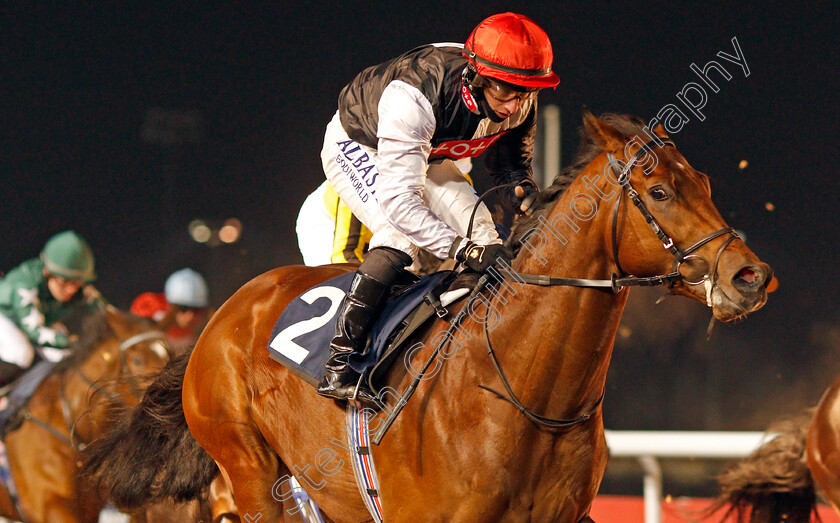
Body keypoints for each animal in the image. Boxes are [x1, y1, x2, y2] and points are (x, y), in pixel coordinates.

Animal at [82, 111, 772, 523]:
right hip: (250, 471)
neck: (527, 393)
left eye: (705, 182)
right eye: (659, 192)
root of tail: (223, 315)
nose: (750, 276)